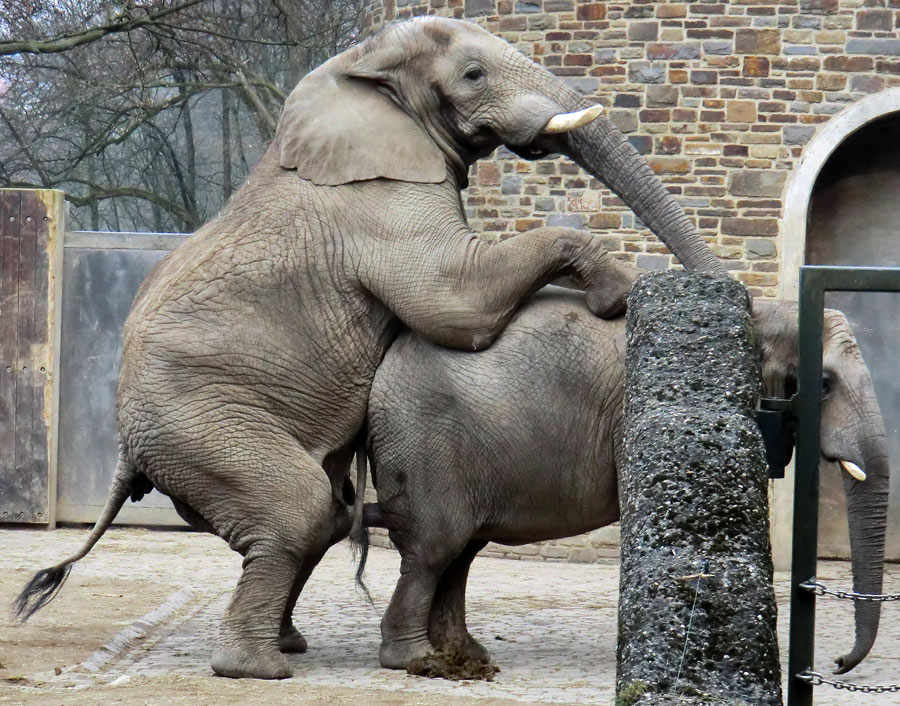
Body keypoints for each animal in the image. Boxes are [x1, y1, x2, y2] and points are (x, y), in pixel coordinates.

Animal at [10, 15, 724, 676]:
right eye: (472, 74)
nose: (712, 290)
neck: (358, 67)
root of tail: (127, 452)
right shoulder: (380, 204)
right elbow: (451, 297)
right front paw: (619, 293)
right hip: (197, 423)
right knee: (301, 508)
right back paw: (261, 667)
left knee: (325, 517)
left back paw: (292, 645)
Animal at [362, 288, 888, 676]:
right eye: (825, 384)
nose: (838, 664)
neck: (766, 309)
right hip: (425, 444)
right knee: (435, 549)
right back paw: (413, 659)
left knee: (461, 552)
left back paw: (464, 654)